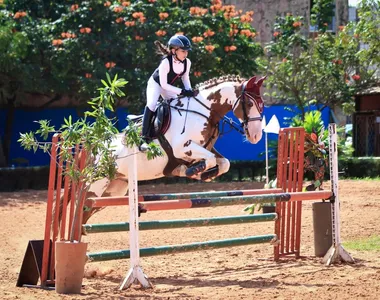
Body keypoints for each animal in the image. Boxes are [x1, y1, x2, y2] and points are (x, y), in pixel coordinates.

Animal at [76, 74, 266, 225]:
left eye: (262, 104)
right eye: (249, 103)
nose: (256, 136)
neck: (203, 111)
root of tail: (94, 147)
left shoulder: (205, 148)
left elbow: (224, 163)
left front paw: (201, 174)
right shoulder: (182, 148)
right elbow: (210, 160)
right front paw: (193, 171)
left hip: (114, 190)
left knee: (87, 211)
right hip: (97, 184)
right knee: (81, 205)